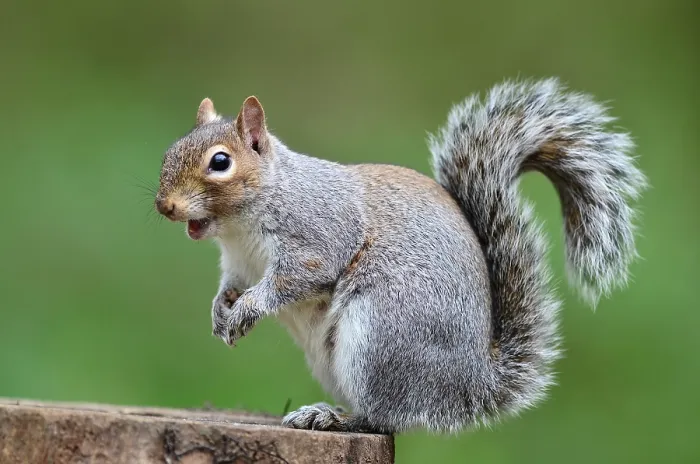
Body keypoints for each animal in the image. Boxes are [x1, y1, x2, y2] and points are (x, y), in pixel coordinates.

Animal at [154, 78, 647, 434]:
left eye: (221, 162)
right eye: (169, 152)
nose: (165, 206)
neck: (240, 227)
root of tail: (469, 383)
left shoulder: (318, 236)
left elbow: (296, 278)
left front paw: (249, 309)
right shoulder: (238, 264)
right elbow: (230, 287)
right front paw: (221, 311)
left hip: (379, 335)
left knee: (386, 417)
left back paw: (332, 417)